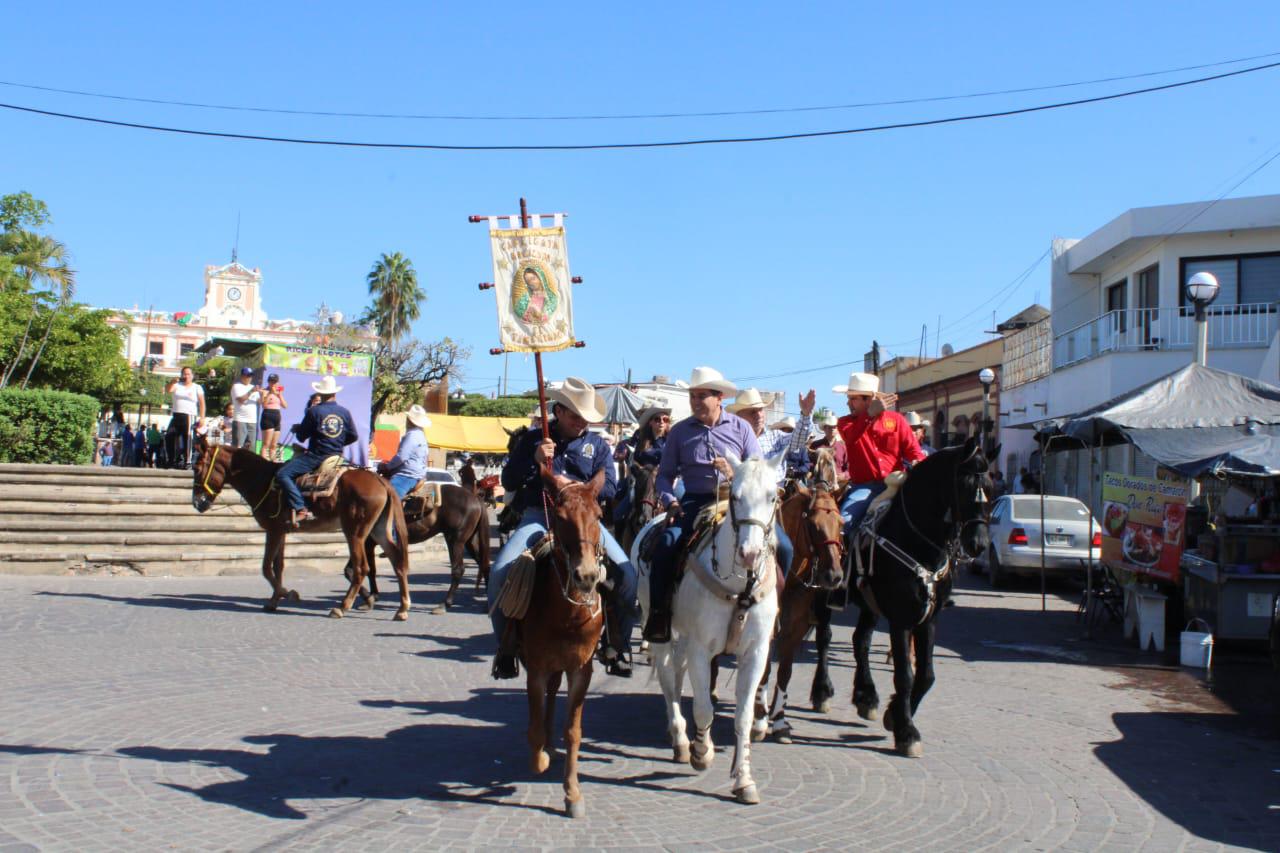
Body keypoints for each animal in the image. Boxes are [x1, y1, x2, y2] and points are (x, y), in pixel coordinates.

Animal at [190, 438, 409, 617]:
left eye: (197, 468)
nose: (197, 502)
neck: (263, 481)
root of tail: (381, 481)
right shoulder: (282, 532)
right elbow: (278, 566)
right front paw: (275, 600)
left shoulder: (273, 530)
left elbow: (266, 567)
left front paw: (286, 594)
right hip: (378, 530)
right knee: (397, 560)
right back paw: (402, 609)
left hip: (355, 533)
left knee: (361, 567)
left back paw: (342, 607)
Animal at [512, 466, 606, 819]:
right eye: (560, 516)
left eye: (599, 515)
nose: (587, 575)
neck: (567, 614)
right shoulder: (536, 667)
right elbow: (534, 727)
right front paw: (539, 758)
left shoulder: (581, 669)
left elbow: (574, 731)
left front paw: (572, 793)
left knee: (554, 693)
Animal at [632, 450, 778, 804]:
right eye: (736, 496)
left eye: (773, 496)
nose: (750, 554)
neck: (740, 587)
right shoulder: (701, 648)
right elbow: (703, 708)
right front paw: (702, 751)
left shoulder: (756, 653)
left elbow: (743, 715)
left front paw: (744, 780)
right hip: (660, 628)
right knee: (669, 680)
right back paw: (681, 740)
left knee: (677, 674)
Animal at [844, 435, 993, 753]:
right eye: (963, 486)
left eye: (990, 487)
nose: (978, 544)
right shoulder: (901, 619)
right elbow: (905, 675)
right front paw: (907, 732)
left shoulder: (929, 619)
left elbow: (926, 676)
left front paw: (895, 716)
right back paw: (823, 693)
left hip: (869, 605)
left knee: (860, 640)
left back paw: (866, 696)